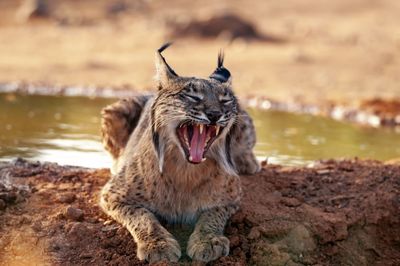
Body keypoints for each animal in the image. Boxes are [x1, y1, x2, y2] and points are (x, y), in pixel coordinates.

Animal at [100, 43, 260, 262]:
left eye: (225, 101)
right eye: (192, 96)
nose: (215, 114)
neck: (186, 169)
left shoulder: (232, 196)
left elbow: (212, 215)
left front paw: (207, 240)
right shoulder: (113, 193)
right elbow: (143, 217)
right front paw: (157, 244)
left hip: (243, 117)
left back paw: (246, 161)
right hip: (115, 109)